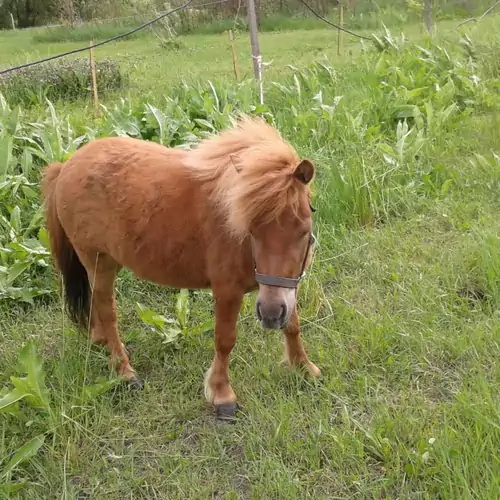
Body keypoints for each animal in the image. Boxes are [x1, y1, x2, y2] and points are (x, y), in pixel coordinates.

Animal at [43, 115, 320, 420]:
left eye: (303, 231)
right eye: (252, 229)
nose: (270, 316)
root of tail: (65, 166)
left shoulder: (284, 289)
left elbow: (293, 325)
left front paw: (304, 367)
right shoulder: (228, 291)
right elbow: (225, 340)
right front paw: (222, 395)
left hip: (107, 262)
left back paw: (99, 340)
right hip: (97, 261)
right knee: (107, 312)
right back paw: (124, 371)